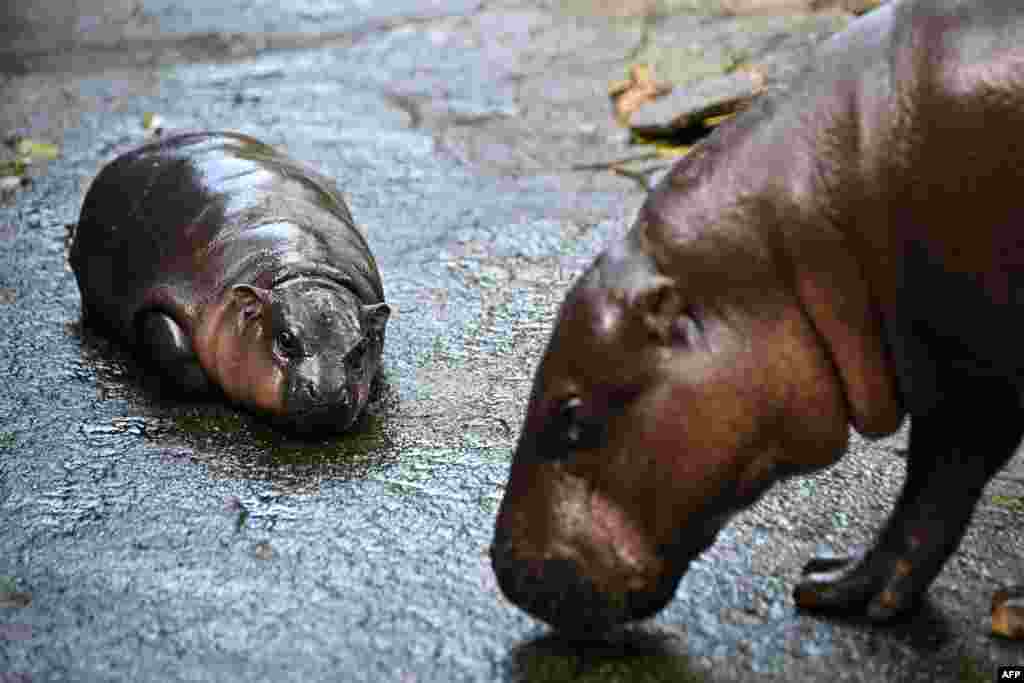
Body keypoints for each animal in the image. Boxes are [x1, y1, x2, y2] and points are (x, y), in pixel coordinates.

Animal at [68, 131, 387, 436]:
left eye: (361, 348)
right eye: (285, 340)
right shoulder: (176, 297)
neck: (305, 271)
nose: (328, 393)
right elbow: (173, 345)